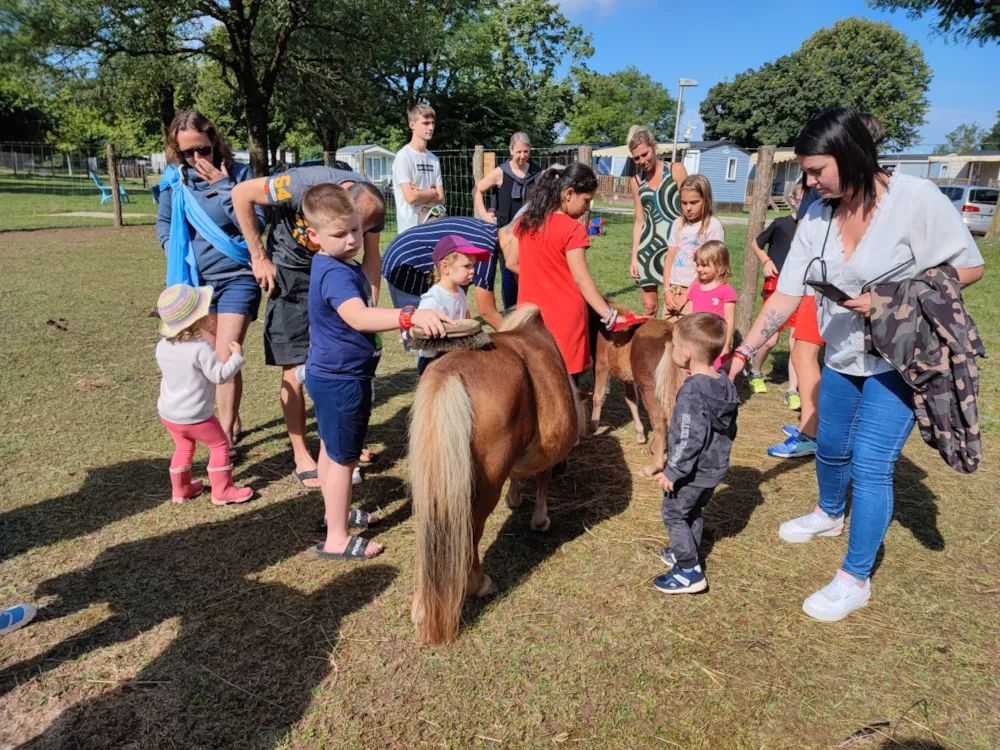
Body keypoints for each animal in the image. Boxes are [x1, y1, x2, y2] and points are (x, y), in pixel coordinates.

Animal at [408, 306, 584, 648]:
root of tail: (450, 372)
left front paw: (515, 497)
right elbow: (542, 480)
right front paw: (539, 519)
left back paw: (421, 605)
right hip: (482, 485)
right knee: (471, 529)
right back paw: (479, 583)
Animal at [588, 304, 684, 476]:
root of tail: (670, 337)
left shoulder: (601, 365)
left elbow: (598, 396)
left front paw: (592, 427)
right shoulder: (628, 377)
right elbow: (631, 399)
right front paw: (640, 434)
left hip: (649, 386)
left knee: (659, 419)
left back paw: (653, 466)